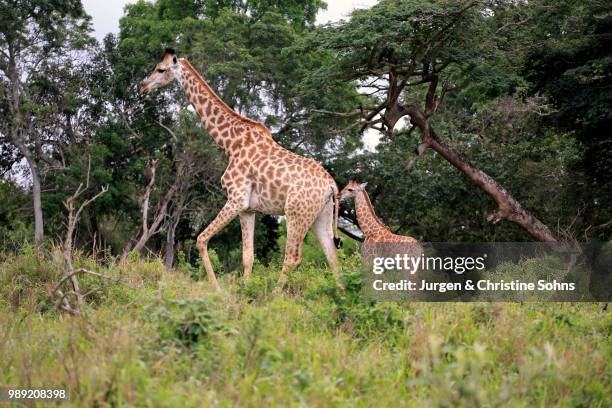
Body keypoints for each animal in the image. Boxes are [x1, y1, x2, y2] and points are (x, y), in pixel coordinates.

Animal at [139, 48, 342, 290]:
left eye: (161, 69)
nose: (142, 87)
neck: (230, 143)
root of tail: (331, 185)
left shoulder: (236, 199)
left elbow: (201, 239)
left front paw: (217, 289)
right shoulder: (248, 209)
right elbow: (248, 256)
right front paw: (244, 292)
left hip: (296, 213)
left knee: (293, 258)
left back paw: (275, 296)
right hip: (321, 216)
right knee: (333, 258)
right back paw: (342, 297)